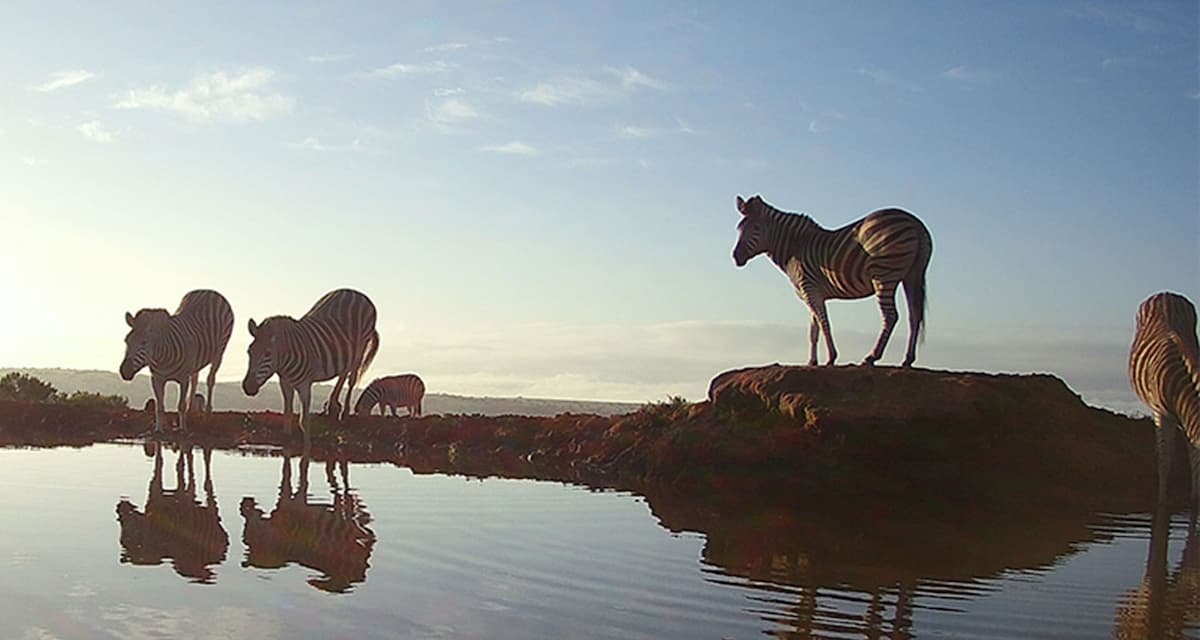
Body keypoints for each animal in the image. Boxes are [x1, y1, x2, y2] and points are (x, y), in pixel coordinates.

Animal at [120, 289, 234, 433]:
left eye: (144, 342)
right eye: (126, 341)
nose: (124, 371)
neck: (162, 358)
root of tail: (208, 290)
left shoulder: (183, 379)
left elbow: (180, 405)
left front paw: (182, 429)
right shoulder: (156, 379)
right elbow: (159, 406)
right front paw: (158, 430)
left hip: (219, 352)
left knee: (210, 380)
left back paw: (208, 413)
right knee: (195, 379)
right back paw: (191, 410)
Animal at [242, 288, 379, 446]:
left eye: (267, 354)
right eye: (249, 351)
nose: (248, 387)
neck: (284, 362)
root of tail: (355, 292)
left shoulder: (305, 385)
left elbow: (304, 421)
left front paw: (307, 445)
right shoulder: (285, 382)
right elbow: (288, 413)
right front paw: (287, 437)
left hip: (361, 348)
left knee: (352, 378)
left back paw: (345, 412)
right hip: (346, 350)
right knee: (344, 372)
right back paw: (333, 406)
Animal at [732, 195, 933, 367]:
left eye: (755, 228)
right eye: (739, 229)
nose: (735, 257)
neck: (796, 247)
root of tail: (913, 221)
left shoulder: (810, 289)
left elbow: (824, 324)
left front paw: (831, 358)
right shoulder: (810, 294)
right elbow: (813, 331)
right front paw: (812, 361)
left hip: (883, 274)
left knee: (891, 315)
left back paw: (871, 357)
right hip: (912, 275)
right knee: (914, 315)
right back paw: (907, 360)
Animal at [1128, 291, 1200, 506]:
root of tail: (1168, 293)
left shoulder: (1188, 419)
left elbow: (1194, 459)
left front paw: (1194, 500)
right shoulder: (1161, 413)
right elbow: (1165, 460)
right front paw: (1162, 502)